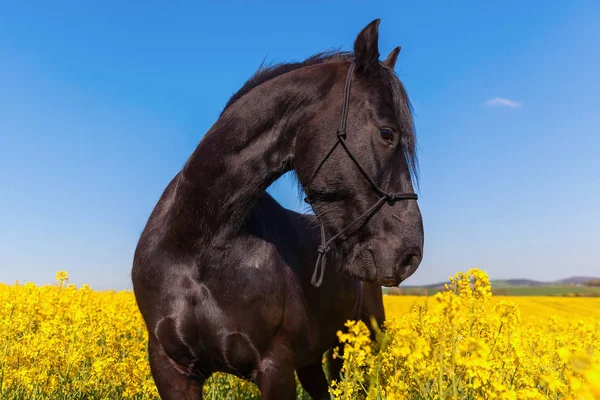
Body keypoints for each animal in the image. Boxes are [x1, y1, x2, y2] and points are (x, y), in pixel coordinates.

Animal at [132, 19, 422, 400]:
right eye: (387, 133)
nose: (410, 254)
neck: (196, 241)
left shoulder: (275, 368)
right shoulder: (171, 369)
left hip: (360, 340)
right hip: (314, 360)